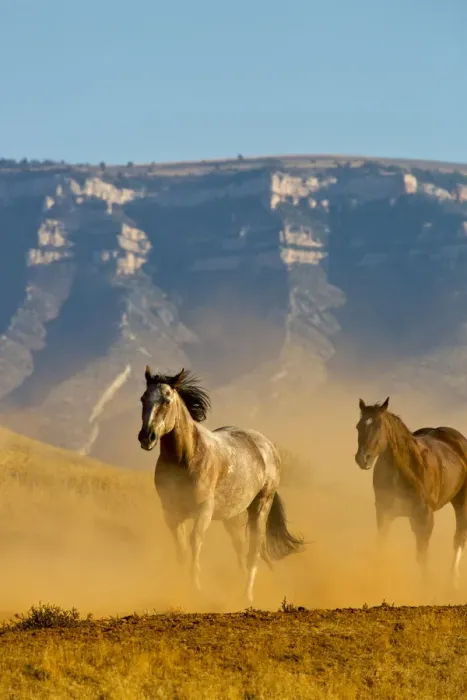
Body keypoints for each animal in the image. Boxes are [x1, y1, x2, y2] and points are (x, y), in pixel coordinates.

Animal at [137, 366, 304, 604]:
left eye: (167, 400)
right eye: (143, 398)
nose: (146, 437)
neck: (185, 458)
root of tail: (268, 446)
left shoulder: (203, 512)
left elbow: (194, 544)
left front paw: (196, 589)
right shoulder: (171, 512)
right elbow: (181, 550)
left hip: (260, 507)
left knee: (253, 551)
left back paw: (247, 596)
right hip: (232, 516)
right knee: (241, 550)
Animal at [355, 396, 467, 589]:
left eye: (379, 426)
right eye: (358, 426)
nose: (363, 458)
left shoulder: (425, 516)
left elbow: (422, 555)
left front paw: (425, 587)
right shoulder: (384, 512)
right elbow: (382, 546)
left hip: (461, 502)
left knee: (459, 537)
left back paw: (452, 581)